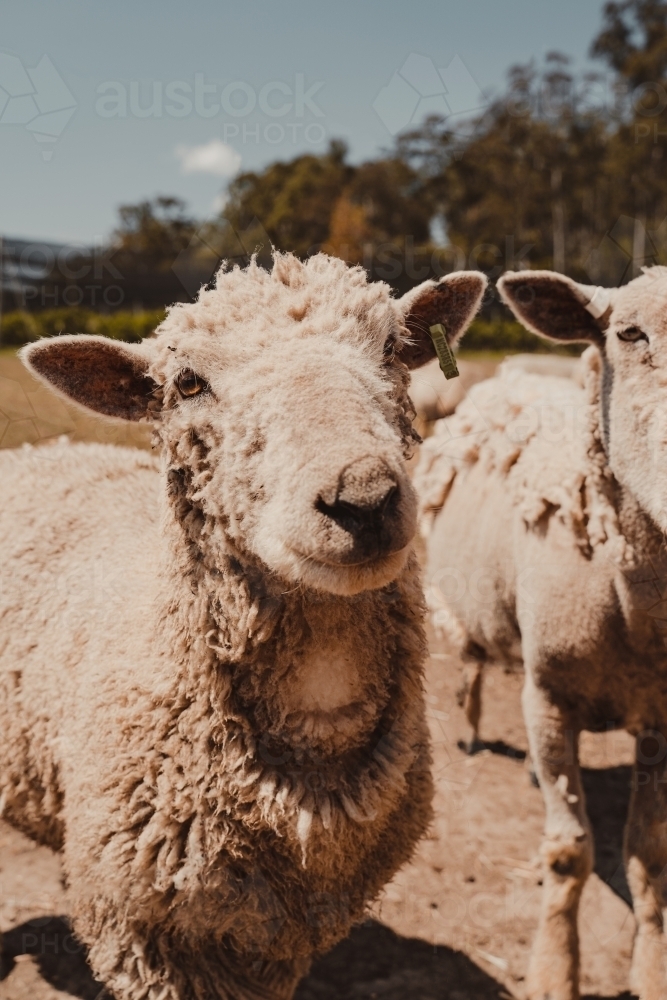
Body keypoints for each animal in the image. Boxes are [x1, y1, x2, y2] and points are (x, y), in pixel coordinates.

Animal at [0, 252, 486, 1000]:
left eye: (391, 349)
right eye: (188, 383)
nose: (363, 498)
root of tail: (31, 453)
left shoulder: (271, 940)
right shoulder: (148, 938)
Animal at [414, 268, 667, 1000]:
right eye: (628, 333)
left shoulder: (661, 718)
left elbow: (647, 854)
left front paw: (651, 968)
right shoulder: (548, 697)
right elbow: (566, 854)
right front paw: (554, 970)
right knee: (474, 664)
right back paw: (475, 731)